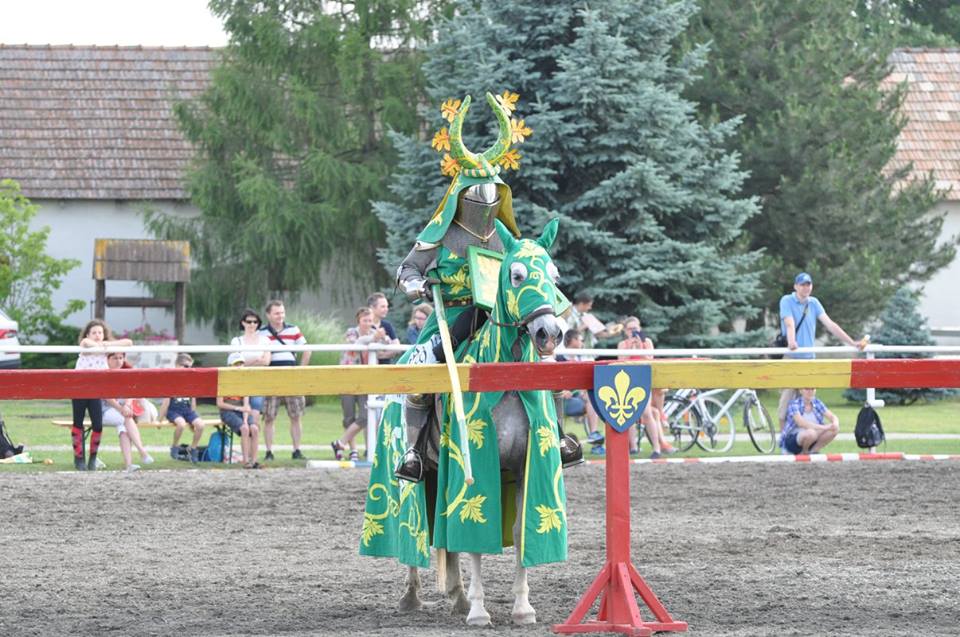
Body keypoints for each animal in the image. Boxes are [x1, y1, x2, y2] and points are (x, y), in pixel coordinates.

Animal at [397, 218, 567, 626]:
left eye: (554, 275)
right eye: (517, 275)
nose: (549, 333)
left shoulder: (524, 469)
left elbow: (520, 533)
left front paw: (522, 607)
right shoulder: (476, 465)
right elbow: (475, 538)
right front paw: (478, 611)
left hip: (439, 477)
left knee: (444, 539)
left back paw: (457, 597)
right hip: (417, 478)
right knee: (414, 535)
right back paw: (414, 597)